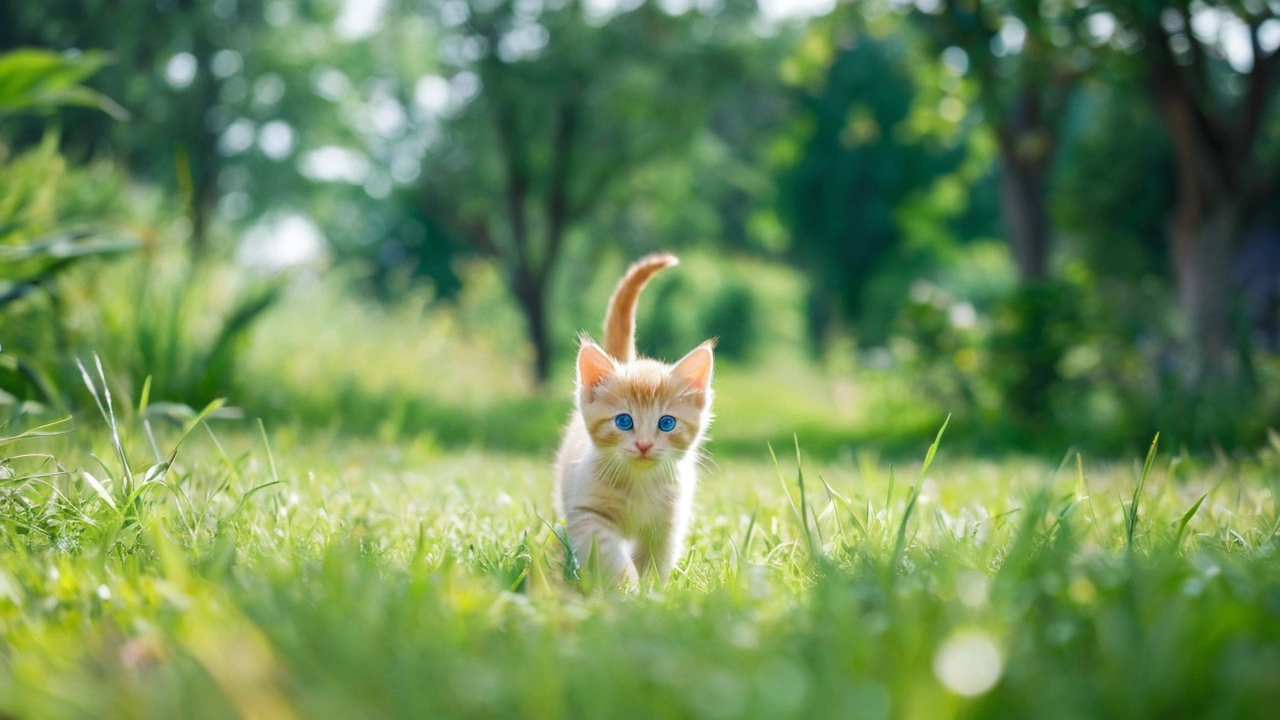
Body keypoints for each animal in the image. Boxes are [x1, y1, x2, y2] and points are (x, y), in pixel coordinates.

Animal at [552, 252, 716, 584]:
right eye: (624, 421)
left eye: (666, 423)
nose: (643, 445)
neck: (639, 484)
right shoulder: (588, 513)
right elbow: (610, 555)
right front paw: (626, 588)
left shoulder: (667, 525)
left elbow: (655, 561)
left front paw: (650, 591)